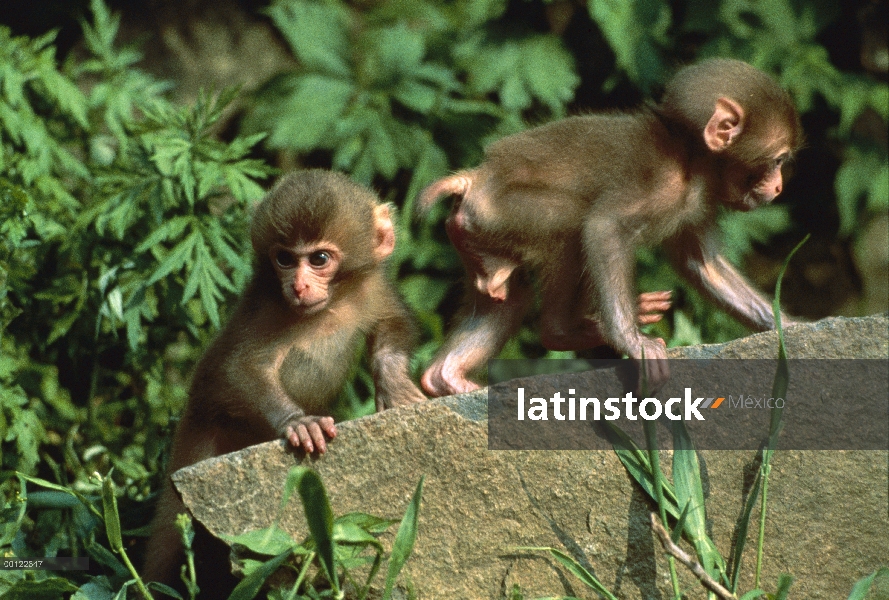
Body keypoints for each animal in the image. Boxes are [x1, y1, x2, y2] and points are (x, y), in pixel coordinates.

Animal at [143, 171, 426, 592]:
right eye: (285, 259)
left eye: (319, 259)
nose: (298, 285)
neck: (331, 306)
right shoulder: (268, 307)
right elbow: (240, 369)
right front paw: (298, 423)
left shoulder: (372, 287)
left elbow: (392, 321)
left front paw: (393, 381)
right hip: (199, 438)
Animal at [418, 58, 804, 396]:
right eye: (777, 161)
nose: (779, 187)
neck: (690, 161)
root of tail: (475, 178)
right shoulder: (657, 185)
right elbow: (604, 228)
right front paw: (632, 343)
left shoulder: (697, 204)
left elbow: (704, 265)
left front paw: (788, 326)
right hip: (498, 211)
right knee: (571, 226)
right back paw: (565, 332)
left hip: (476, 236)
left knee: (509, 294)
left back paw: (445, 376)